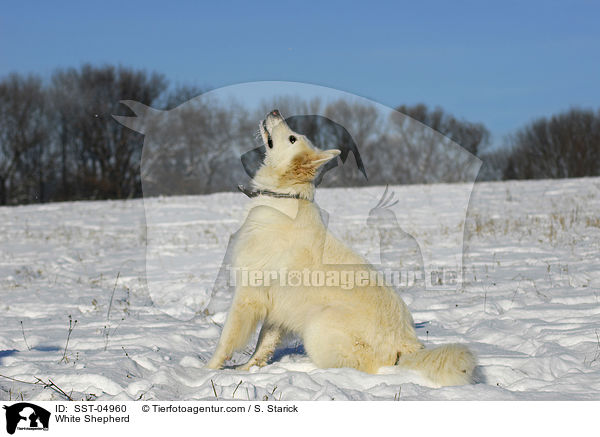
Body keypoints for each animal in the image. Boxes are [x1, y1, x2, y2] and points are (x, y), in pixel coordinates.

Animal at [206, 109, 474, 384]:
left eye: (292, 138)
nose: (275, 111)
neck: (284, 196)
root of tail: (406, 344)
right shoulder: (277, 307)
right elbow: (264, 343)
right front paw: (248, 369)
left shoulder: (248, 295)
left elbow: (227, 338)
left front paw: (208, 370)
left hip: (318, 323)